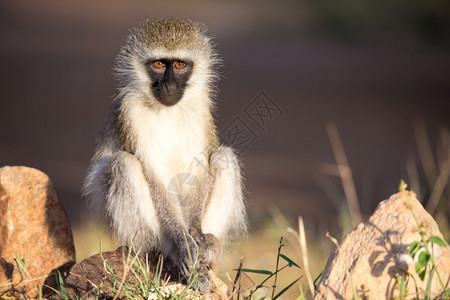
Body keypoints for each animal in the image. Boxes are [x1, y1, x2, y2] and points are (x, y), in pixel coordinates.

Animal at [82, 19, 248, 292]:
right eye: (159, 65)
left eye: (180, 65)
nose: (169, 85)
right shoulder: (130, 110)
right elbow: (153, 175)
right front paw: (183, 243)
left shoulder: (201, 108)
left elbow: (200, 168)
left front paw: (197, 235)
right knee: (124, 163)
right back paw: (173, 253)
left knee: (223, 156)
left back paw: (210, 246)